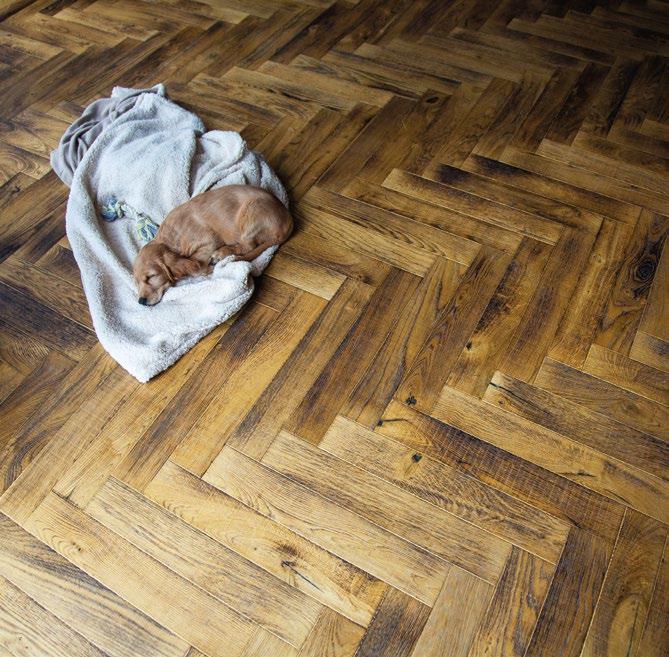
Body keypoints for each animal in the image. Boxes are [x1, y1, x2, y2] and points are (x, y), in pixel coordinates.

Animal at [133, 185, 292, 306]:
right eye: (136, 282)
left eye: (151, 276)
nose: (141, 301)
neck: (172, 236)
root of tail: (288, 219)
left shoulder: (210, 241)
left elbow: (197, 266)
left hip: (250, 213)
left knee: (248, 246)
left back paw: (221, 254)